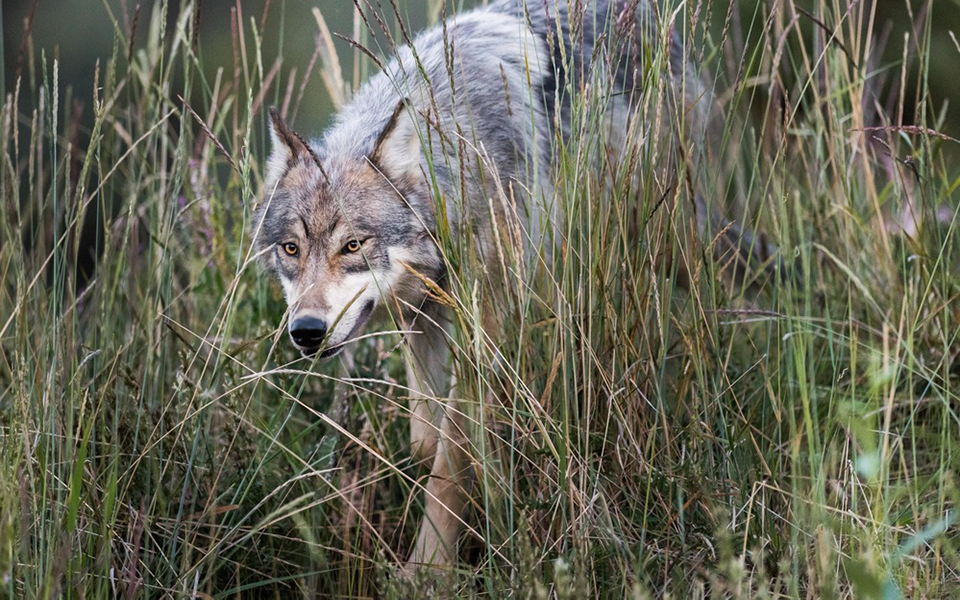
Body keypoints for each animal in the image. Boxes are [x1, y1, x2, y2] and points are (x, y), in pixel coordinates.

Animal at [251, 0, 724, 576]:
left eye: (353, 245)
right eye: (291, 249)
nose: (306, 331)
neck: (462, 165)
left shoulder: (487, 331)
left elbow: (450, 465)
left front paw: (427, 571)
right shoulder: (421, 317)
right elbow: (426, 440)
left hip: (663, 242)